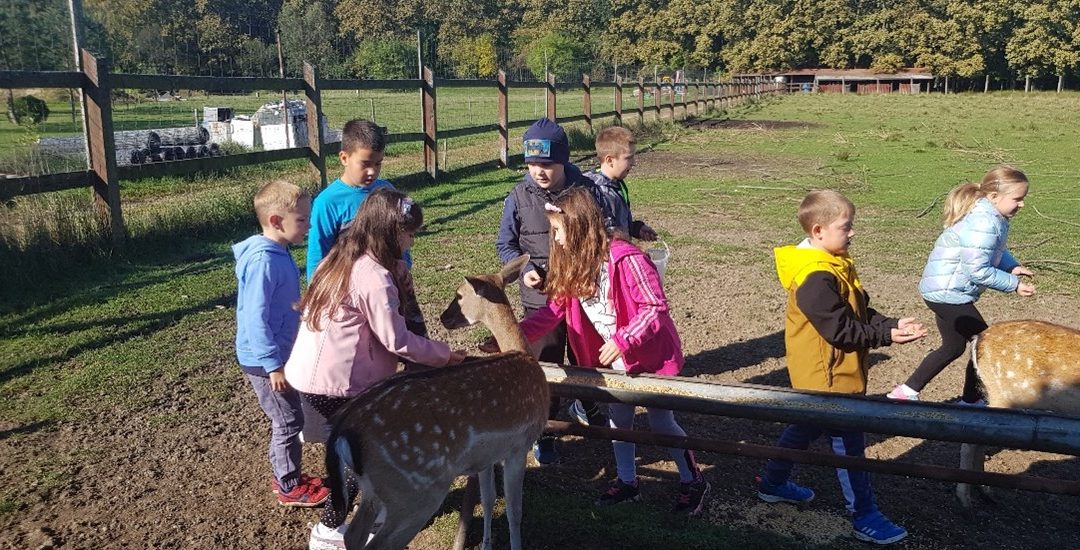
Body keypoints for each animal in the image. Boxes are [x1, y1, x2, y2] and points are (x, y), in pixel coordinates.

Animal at [319, 256, 548, 548]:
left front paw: (486, 543)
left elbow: (488, 499)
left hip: (374, 490)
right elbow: (514, 511)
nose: (443, 318)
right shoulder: (519, 445)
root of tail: (342, 431)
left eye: (459, 295)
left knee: (353, 534)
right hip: (415, 491)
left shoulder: (487, 457)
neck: (522, 353)